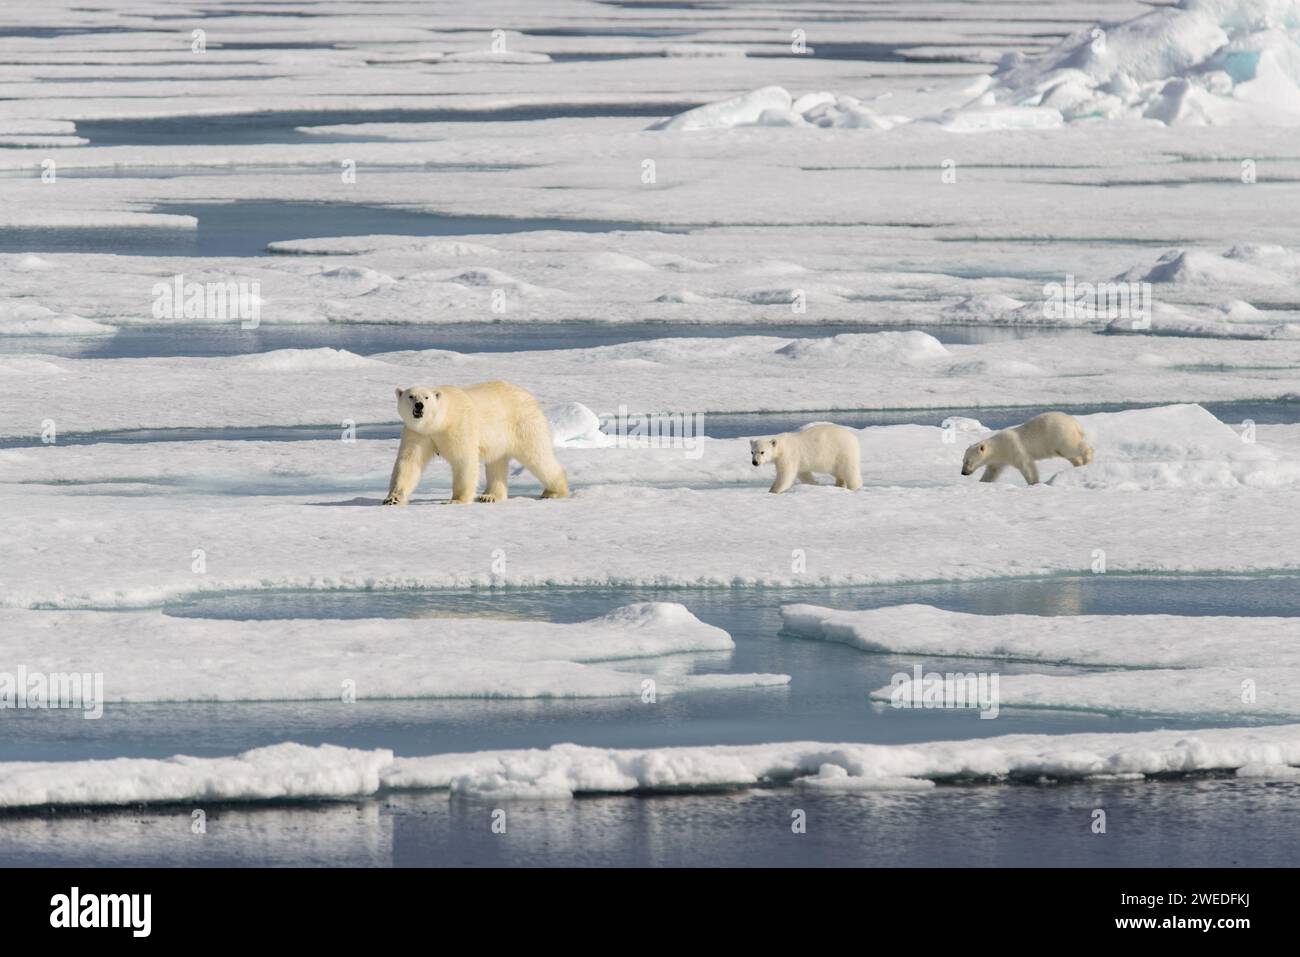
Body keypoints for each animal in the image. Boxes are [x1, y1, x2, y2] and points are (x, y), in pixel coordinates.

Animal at [383, 380, 569, 505]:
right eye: (411, 396)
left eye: (427, 397)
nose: (419, 406)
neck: (440, 421)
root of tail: (529, 396)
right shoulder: (417, 433)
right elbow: (409, 462)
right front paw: (393, 498)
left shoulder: (458, 426)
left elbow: (463, 459)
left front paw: (457, 500)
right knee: (497, 463)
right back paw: (490, 496)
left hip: (523, 424)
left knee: (537, 456)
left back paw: (554, 491)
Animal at [961, 411, 1094, 486]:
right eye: (963, 460)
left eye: (968, 461)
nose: (963, 473)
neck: (999, 446)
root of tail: (1075, 423)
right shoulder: (998, 460)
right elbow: (992, 472)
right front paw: (983, 482)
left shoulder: (1014, 448)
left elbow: (1027, 466)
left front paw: (1033, 483)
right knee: (1068, 454)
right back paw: (1078, 465)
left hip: (1059, 435)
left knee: (1072, 447)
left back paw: (1088, 459)